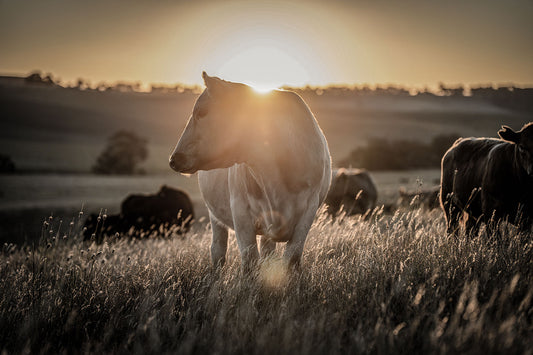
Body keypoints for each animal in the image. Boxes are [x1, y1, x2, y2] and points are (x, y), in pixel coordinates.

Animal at [168, 73, 330, 270]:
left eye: (201, 112)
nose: (174, 159)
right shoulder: (240, 212)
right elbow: (250, 261)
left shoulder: (308, 210)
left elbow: (291, 259)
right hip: (214, 216)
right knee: (217, 250)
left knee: (267, 252)